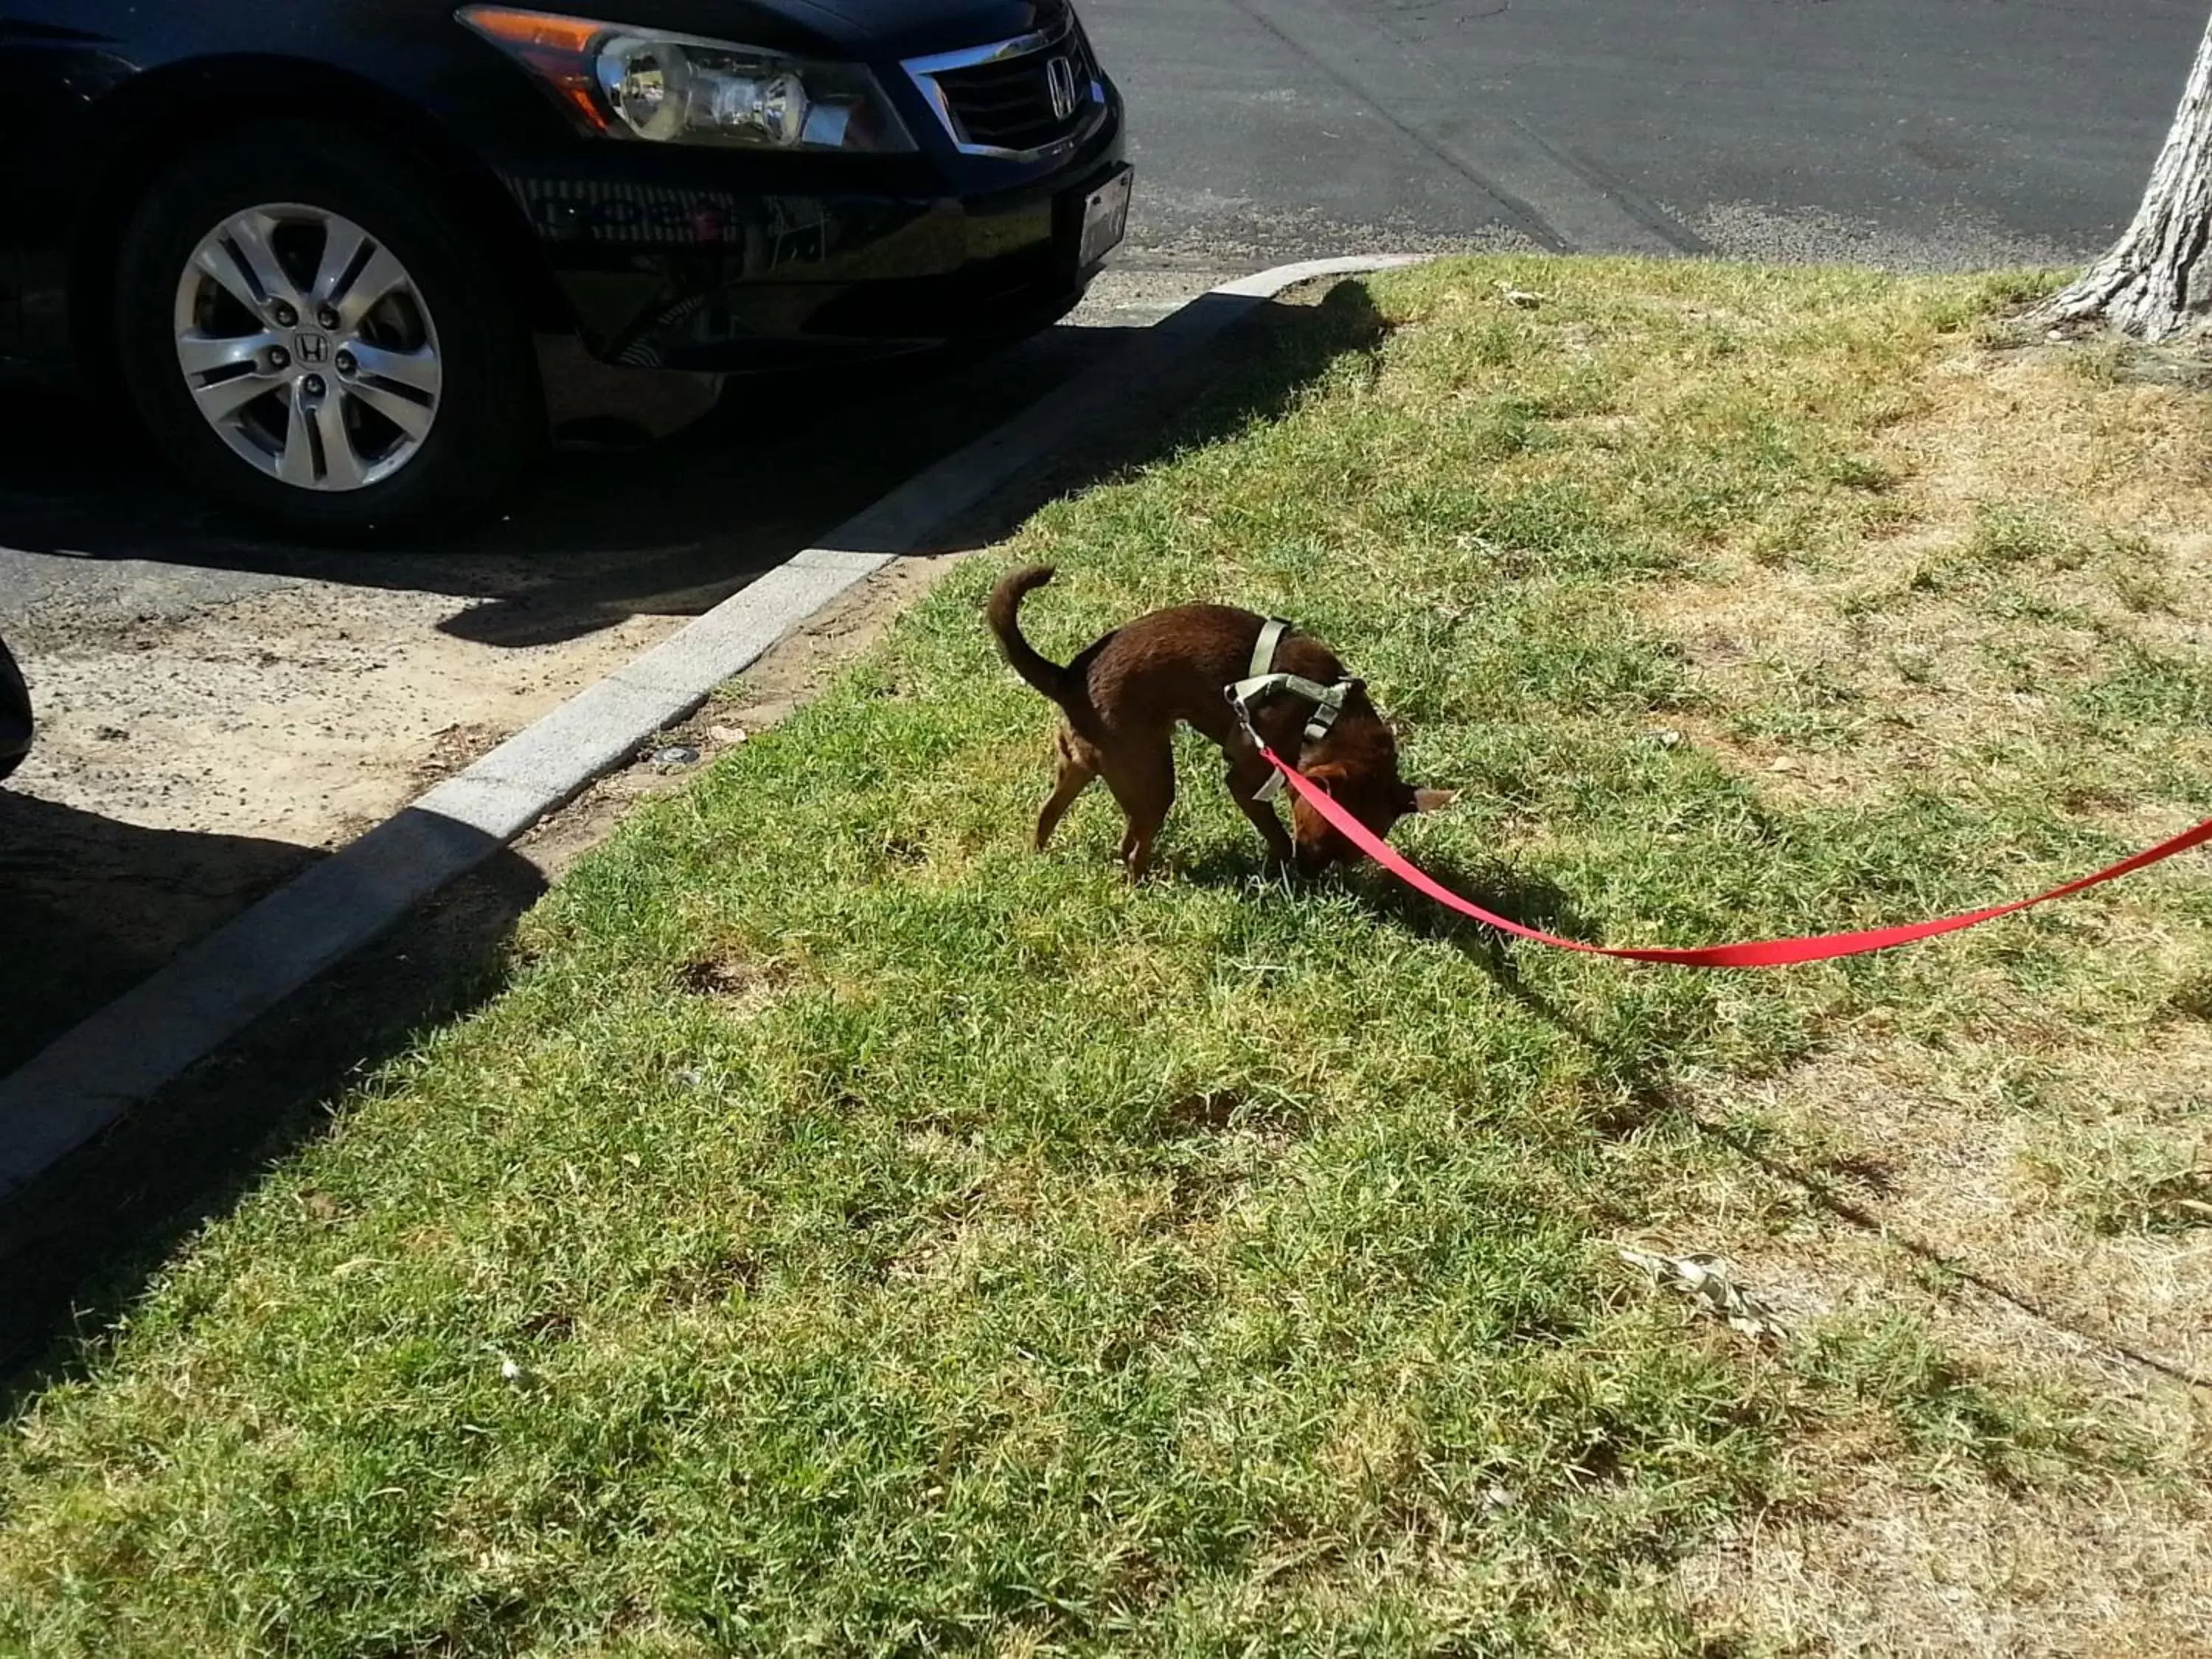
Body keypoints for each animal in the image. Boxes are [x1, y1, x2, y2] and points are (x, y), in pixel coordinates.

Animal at [991, 571, 1451, 885]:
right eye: (1313, 840)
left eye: (1347, 856)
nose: (1308, 875)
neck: (1325, 716)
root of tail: (1070, 678)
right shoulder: (1246, 780)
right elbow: (1276, 834)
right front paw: (1280, 864)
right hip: (1152, 781)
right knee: (1132, 849)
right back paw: (1145, 882)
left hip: (1083, 768)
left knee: (1052, 816)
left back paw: (1042, 859)